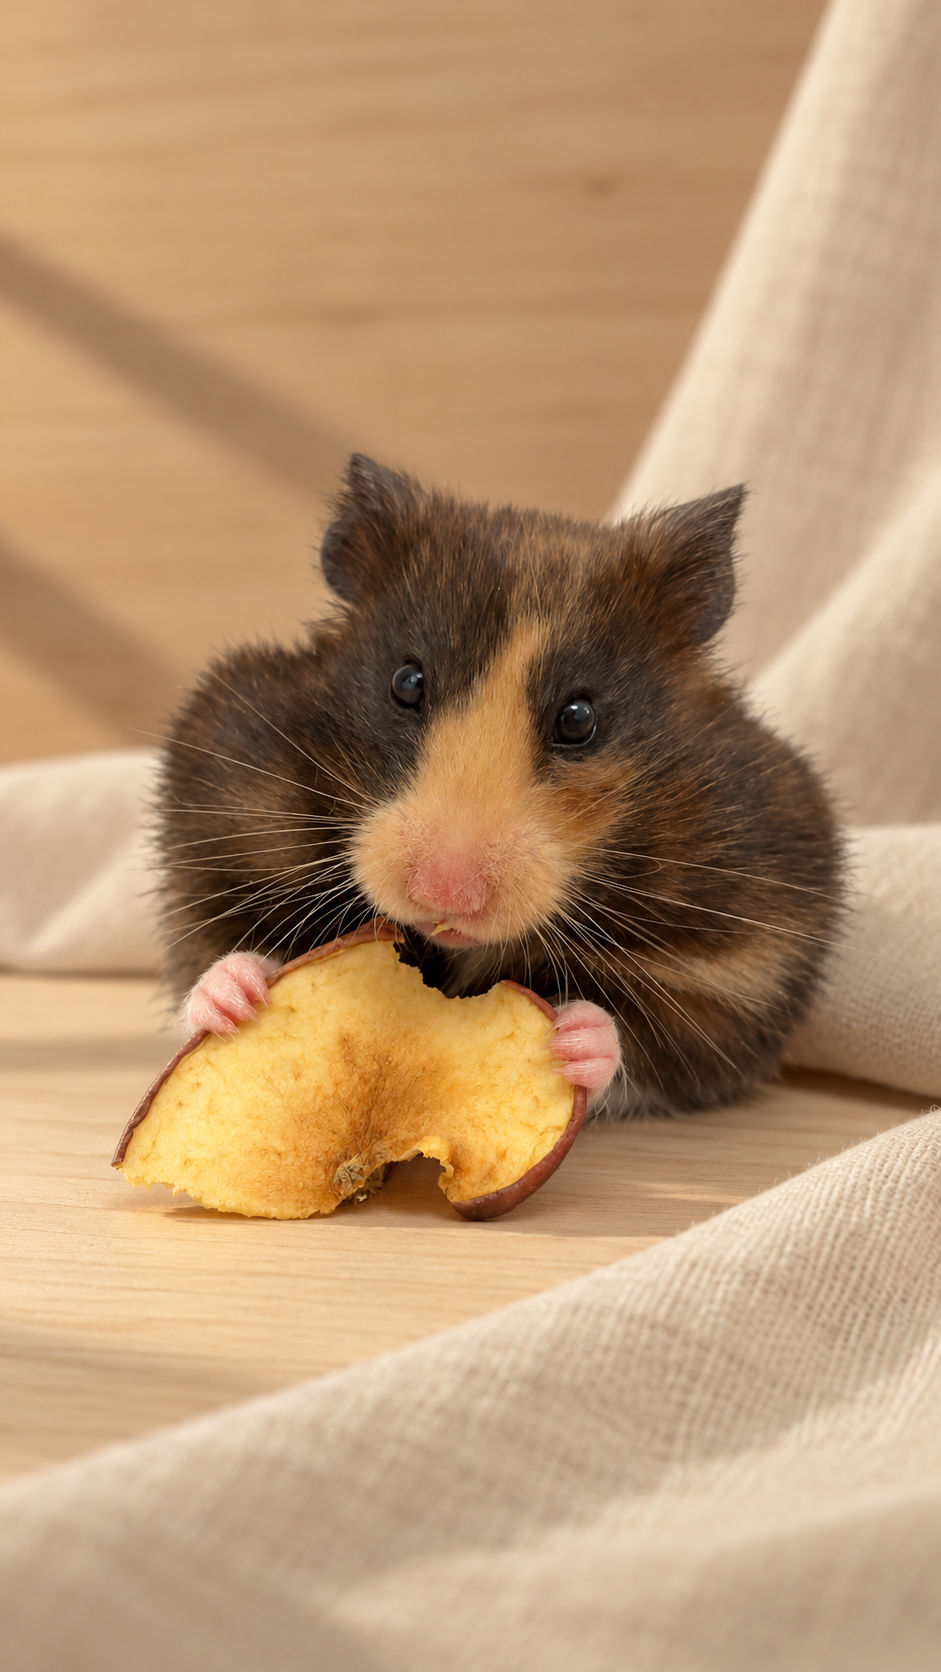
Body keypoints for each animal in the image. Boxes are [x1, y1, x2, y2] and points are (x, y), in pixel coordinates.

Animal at [156, 453, 843, 1116]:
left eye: (579, 719)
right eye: (405, 682)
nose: (447, 894)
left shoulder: (748, 964)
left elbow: (659, 1041)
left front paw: (575, 1040)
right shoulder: (213, 816)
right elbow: (212, 945)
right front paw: (236, 998)